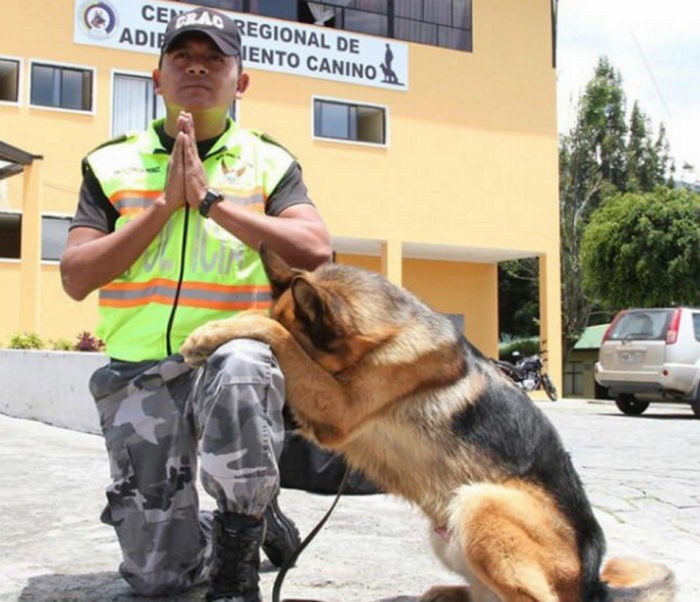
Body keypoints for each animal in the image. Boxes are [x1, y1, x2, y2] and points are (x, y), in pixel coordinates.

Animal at [180, 244, 672, 600]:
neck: (386, 336)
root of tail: (593, 584)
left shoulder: (339, 405)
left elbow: (280, 335)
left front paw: (207, 334)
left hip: (479, 503)